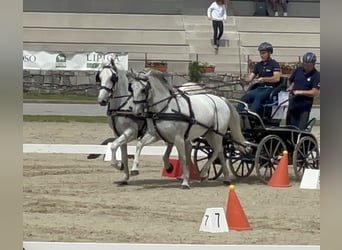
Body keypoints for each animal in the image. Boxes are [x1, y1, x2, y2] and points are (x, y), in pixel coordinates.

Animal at [97, 57, 175, 186]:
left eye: (113, 78)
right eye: (99, 77)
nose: (102, 100)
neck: (122, 106)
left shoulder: (131, 132)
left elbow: (113, 146)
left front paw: (118, 165)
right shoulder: (118, 134)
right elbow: (123, 154)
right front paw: (124, 177)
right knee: (171, 143)